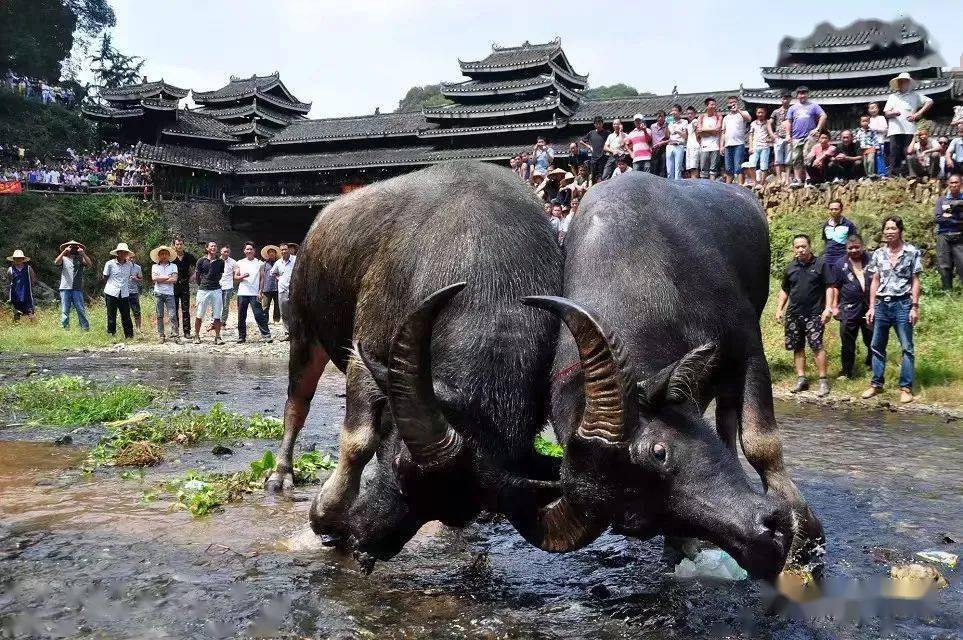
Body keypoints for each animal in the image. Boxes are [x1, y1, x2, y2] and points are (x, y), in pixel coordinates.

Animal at [264, 162, 564, 564]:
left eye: (453, 509)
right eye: (401, 467)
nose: (368, 541)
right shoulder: (367, 351)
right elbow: (358, 442)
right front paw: (326, 515)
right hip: (304, 331)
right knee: (296, 406)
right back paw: (281, 475)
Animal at [494, 171, 824, 580]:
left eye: (659, 452)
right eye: (638, 521)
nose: (763, 545)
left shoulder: (748, 345)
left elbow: (762, 442)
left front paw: (803, 533)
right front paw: (682, 547)